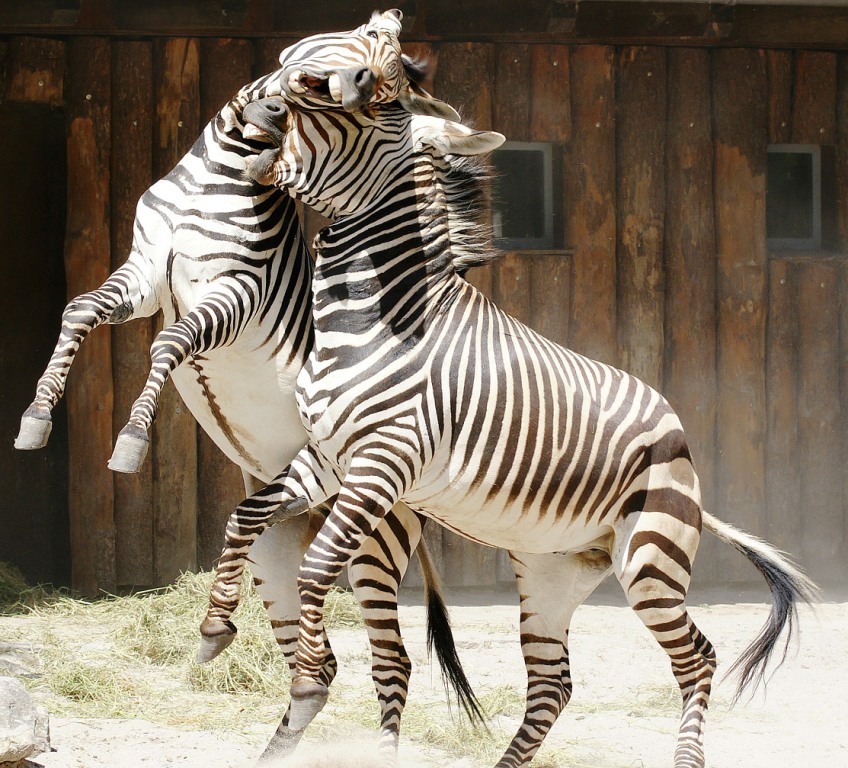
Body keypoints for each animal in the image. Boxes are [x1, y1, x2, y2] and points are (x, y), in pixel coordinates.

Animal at [13, 10, 480, 760]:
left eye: (386, 76)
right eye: (366, 57)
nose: (356, 85)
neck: (228, 163)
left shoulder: (235, 291)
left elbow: (169, 344)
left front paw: (131, 442)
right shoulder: (145, 273)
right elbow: (79, 310)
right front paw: (35, 417)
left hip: (373, 540)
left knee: (392, 662)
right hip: (276, 543)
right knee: (319, 668)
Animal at [200, 97, 820, 768]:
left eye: (362, 115)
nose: (261, 121)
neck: (374, 314)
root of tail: (681, 441)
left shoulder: (381, 464)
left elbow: (314, 568)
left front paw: (309, 679)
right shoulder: (329, 460)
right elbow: (243, 517)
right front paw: (215, 627)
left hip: (651, 556)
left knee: (696, 659)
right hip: (553, 571)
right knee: (553, 684)